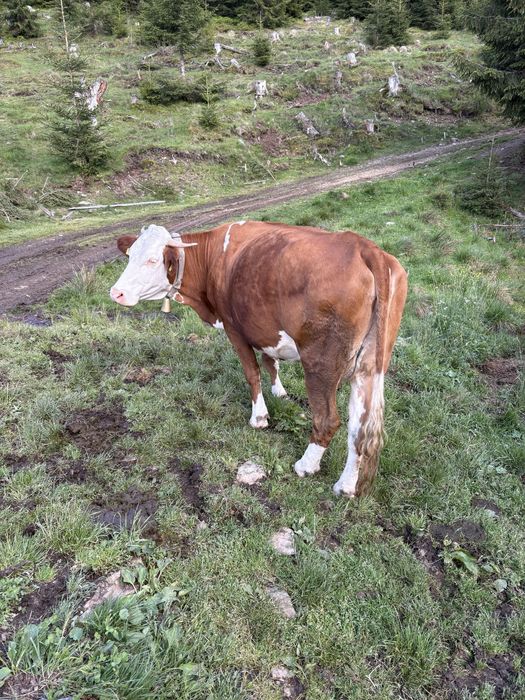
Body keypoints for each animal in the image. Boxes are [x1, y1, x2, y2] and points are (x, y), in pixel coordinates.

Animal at [110, 221, 407, 497]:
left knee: (328, 420)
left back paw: (306, 465)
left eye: (152, 259)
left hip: (320, 362)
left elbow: (252, 372)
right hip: (370, 365)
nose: (116, 292)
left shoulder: (234, 328)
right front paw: (280, 393)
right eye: (130, 255)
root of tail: (363, 246)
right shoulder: (262, 326)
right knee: (359, 428)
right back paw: (345, 486)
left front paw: (260, 416)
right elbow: (269, 362)